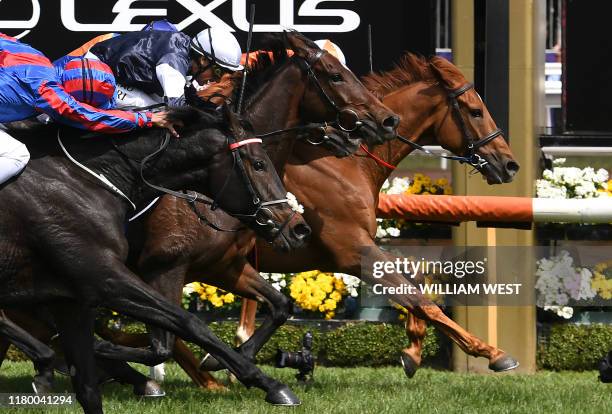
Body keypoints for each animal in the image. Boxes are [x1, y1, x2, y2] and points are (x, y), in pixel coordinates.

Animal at [0, 106, 308, 410]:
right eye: (258, 164)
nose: (299, 228)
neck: (86, 179)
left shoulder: (223, 266)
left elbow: (280, 303)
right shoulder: (114, 276)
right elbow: (186, 326)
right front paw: (267, 382)